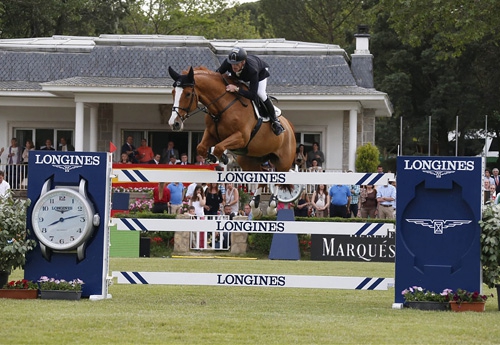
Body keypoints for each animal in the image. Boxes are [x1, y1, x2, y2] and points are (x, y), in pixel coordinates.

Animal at [167, 66, 296, 216]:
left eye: (187, 94)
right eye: (173, 92)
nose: (174, 123)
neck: (222, 106)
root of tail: (289, 126)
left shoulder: (241, 137)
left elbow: (218, 147)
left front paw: (223, 158)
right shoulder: (211, 134)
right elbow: (201, 148)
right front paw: (214, 158)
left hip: (283, 161)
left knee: (278, 179)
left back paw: (271, 206)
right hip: (248, 161)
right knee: (262, 179)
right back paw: (255, 207)